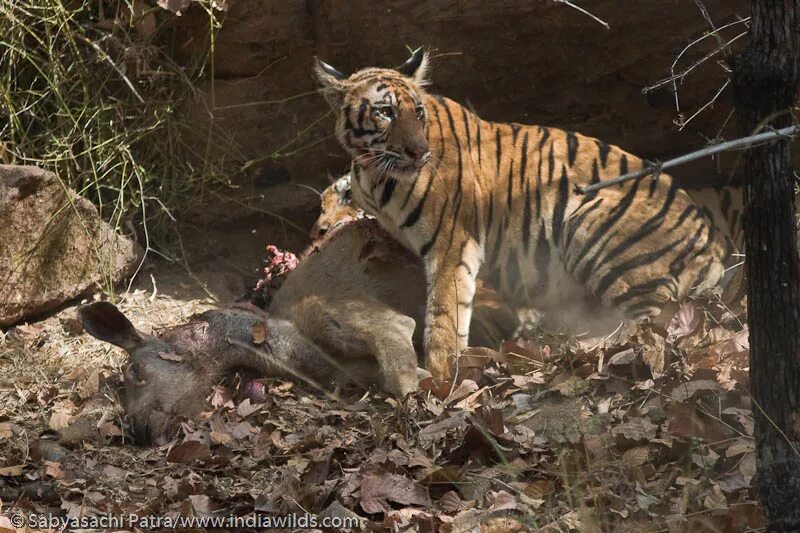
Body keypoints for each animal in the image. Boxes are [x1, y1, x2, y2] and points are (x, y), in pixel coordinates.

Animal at [312, 50, 744, 380]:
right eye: (384, 112)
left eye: (417, 112)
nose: (419, 152)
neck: (374, 172)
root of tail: (713, 244)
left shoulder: (454, 242)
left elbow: (444, 314)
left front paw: (440, 378)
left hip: (593, 226)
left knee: (651, 325)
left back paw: (585, 346)